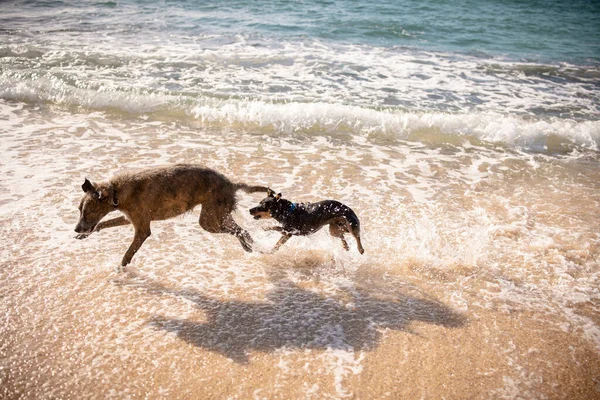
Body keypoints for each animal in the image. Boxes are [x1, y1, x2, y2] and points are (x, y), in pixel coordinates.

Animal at [74, 164, 268, 268]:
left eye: (89, 211)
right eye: (79, 210)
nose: (76, 228)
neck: (117, 191)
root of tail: (232, 184)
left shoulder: (142, 229)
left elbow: (127, 255)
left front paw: (119, 270)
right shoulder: (130, 218)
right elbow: (102, 224)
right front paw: (84, 235)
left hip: (209, 221)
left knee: (239, 231)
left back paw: (251, 247)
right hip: (217, 216)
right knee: (242, 231)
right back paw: (250, 247)